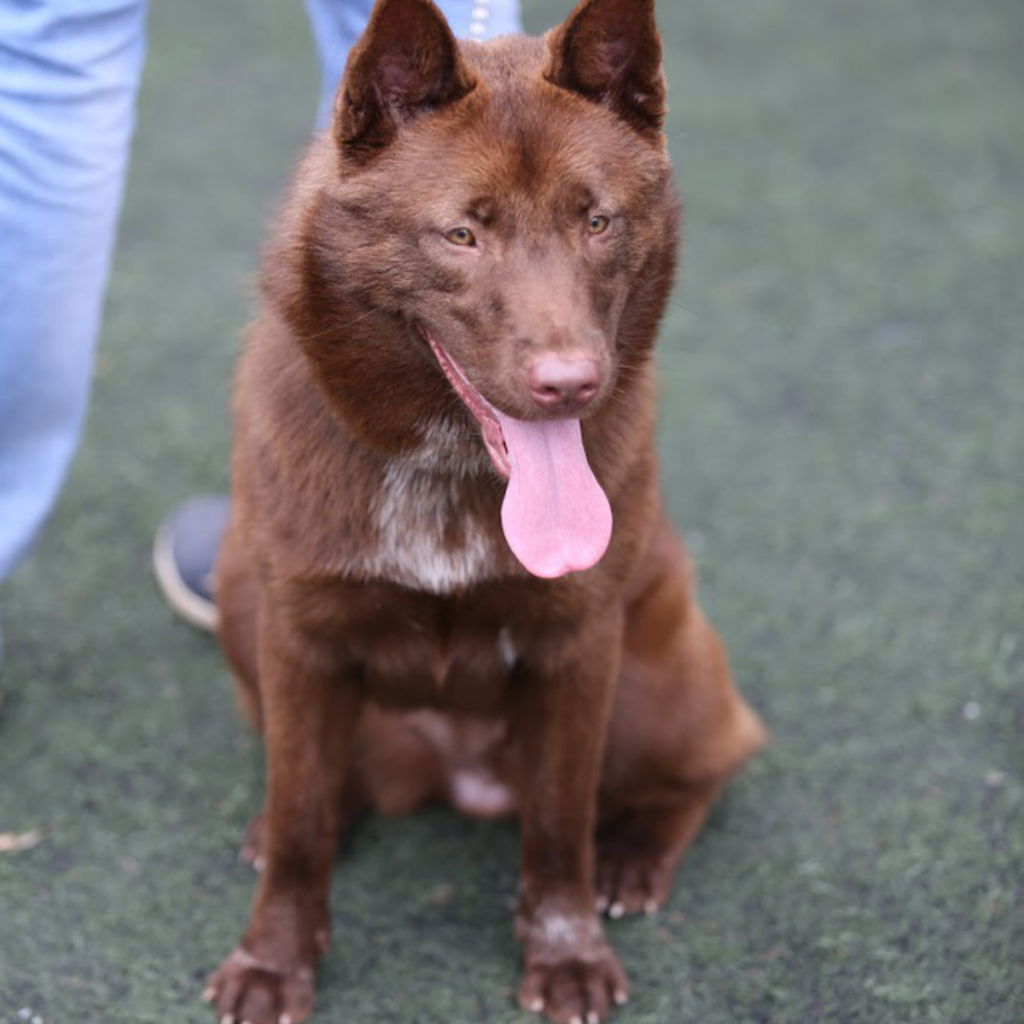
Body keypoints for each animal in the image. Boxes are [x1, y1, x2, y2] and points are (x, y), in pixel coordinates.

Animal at [203, 2, 765, 1024]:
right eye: (461, 234)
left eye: (597, 220)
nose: (570, 384)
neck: (446, 465)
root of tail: (453, 778)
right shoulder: (298, 637)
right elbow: (302, 817)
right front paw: (272, 962)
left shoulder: (580, 650)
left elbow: (559, 823)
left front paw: (566, 954)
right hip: (238, 590)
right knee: (320, 785)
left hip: (656, 678)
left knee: (714, 758)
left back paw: (633, 856)